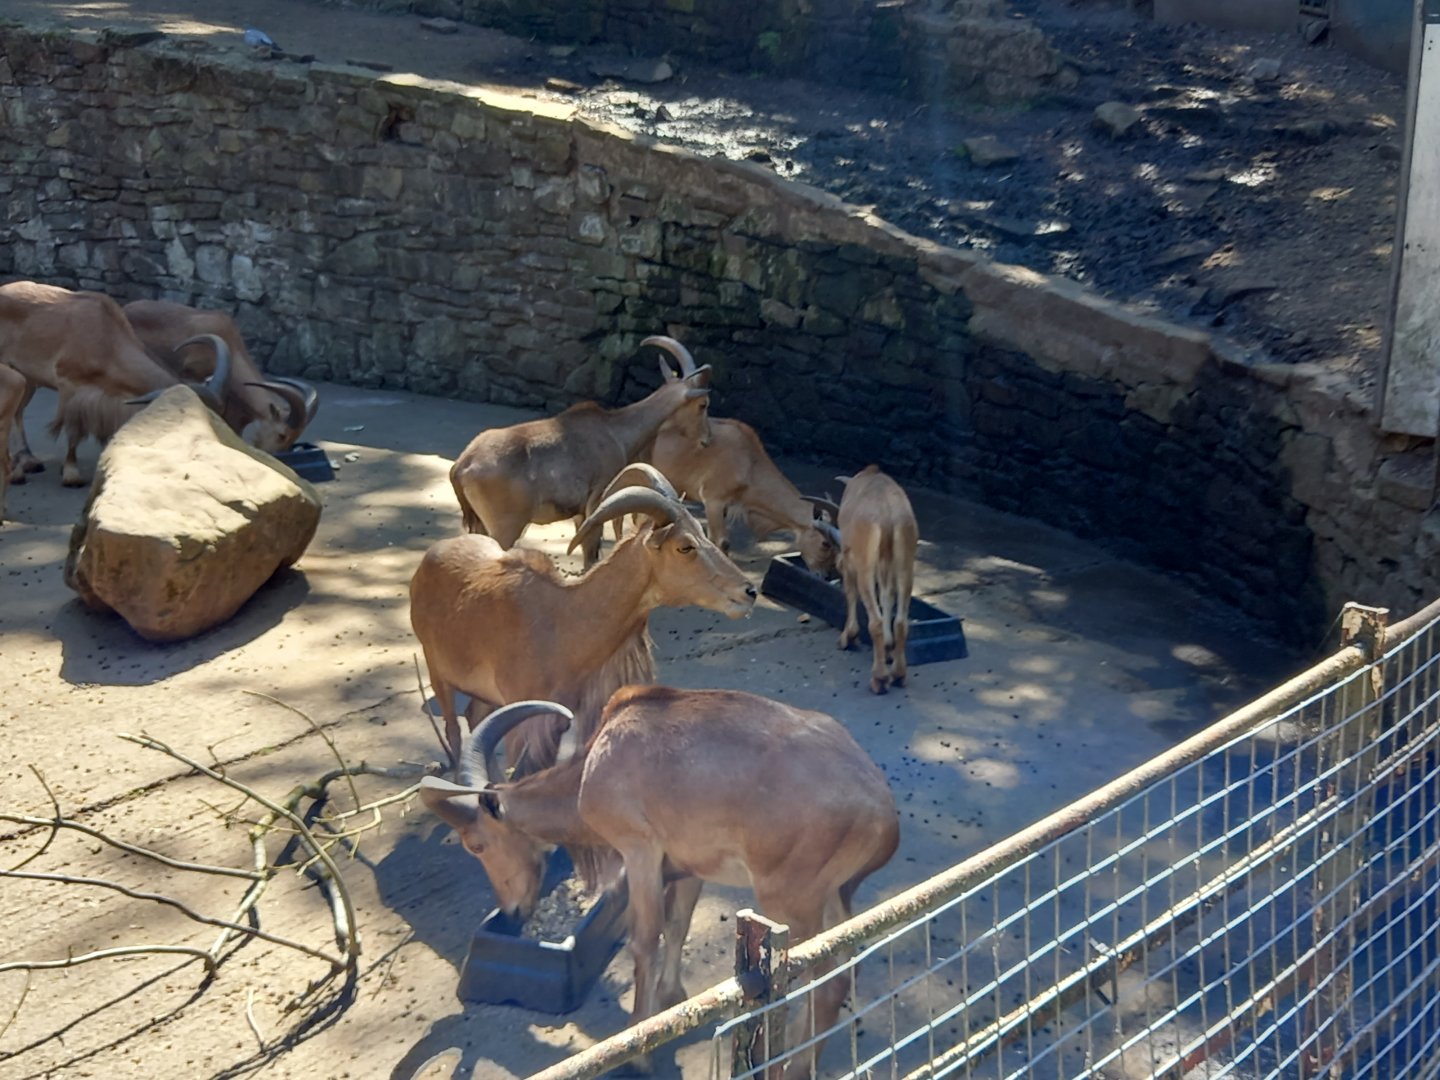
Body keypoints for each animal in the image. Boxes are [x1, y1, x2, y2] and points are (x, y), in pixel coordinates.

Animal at [0, 281, 229, 487]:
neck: (106, 339)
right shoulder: (70, 387)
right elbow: (73, 431)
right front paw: (72, 475)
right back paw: (18, 473)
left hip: (28, 378)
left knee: (18, 412)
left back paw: (29, 461)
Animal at [410, 463, 756, 775]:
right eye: (685, 546)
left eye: (703, 534)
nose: (749, 591)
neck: (565, 619)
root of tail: (429, 558)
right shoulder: (524, 719)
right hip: (436, 667)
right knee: (455, 731)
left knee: (473, 718)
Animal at [420, 687, 899, 1076]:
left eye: (476, 844)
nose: (515, 909)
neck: (593, 768)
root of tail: (883, 816)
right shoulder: (690, 866)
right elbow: (678, 923)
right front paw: (672, 997)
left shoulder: (639, 850)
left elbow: (645, 939)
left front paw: (639, 1051)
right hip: (836, 895)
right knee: (844, 965)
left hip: (791, 899)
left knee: (827, 979)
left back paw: (796, 1066)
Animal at [448, 336, 713, 568]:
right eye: (703, 405)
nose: (707, 439)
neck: (616, 430)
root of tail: (462, 465)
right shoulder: (597, 500)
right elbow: (591, 552)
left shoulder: (580, 513)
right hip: (505, 527)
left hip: (481, 524)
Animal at [806, 465, 919, 694]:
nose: (826, 574)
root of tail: (888, 515)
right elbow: (887, 596)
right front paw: (888, 647)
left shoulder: (851, 563)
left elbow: (850, 594)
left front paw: (848, 638)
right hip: (905, 563)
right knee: (900, 620)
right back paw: (898, 674)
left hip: (866, 566)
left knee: (875, 620)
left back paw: (879, 679)